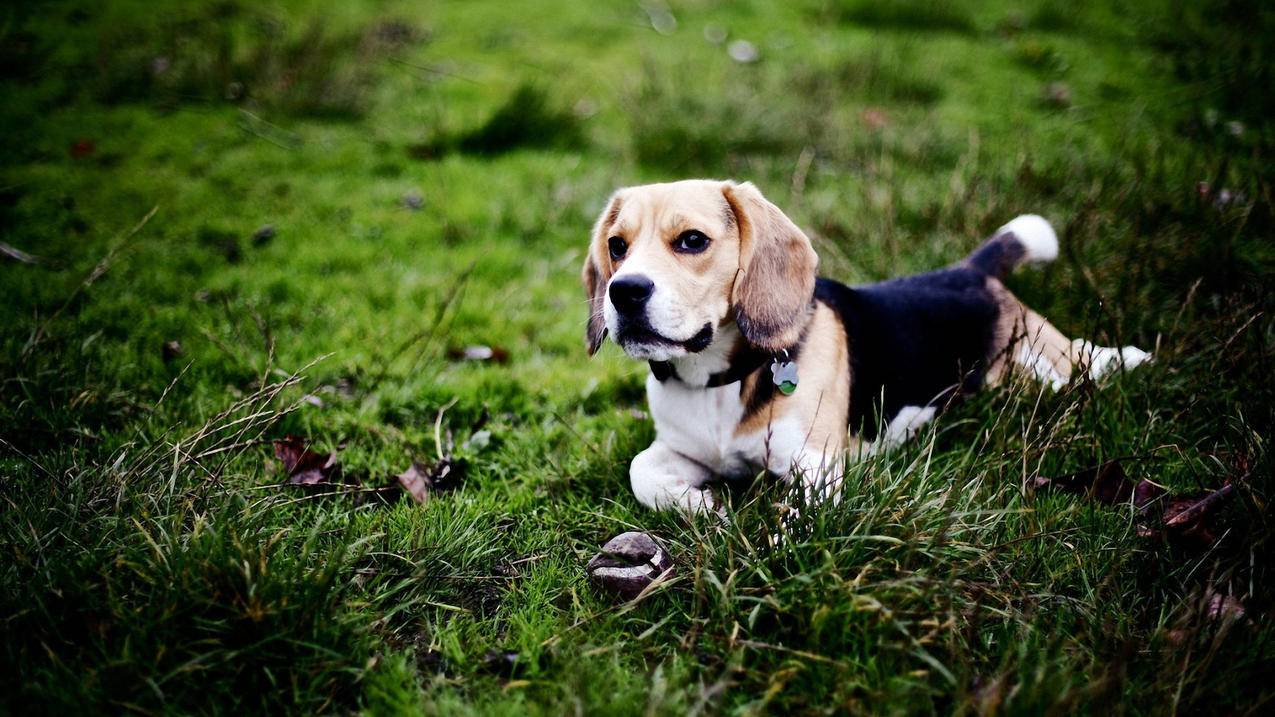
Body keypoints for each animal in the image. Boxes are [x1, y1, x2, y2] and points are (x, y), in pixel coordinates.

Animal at [583, 181, 1152, 510]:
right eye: (617, 246)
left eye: (693, 241)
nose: (624, 292)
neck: (717, 380)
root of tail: (970, 270)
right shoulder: (681, 449)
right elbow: (640, 472)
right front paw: (701, 504)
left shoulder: (817, 469)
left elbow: (796, 523)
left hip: (1049, 364)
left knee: (1084, 360)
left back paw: (1128, 358)